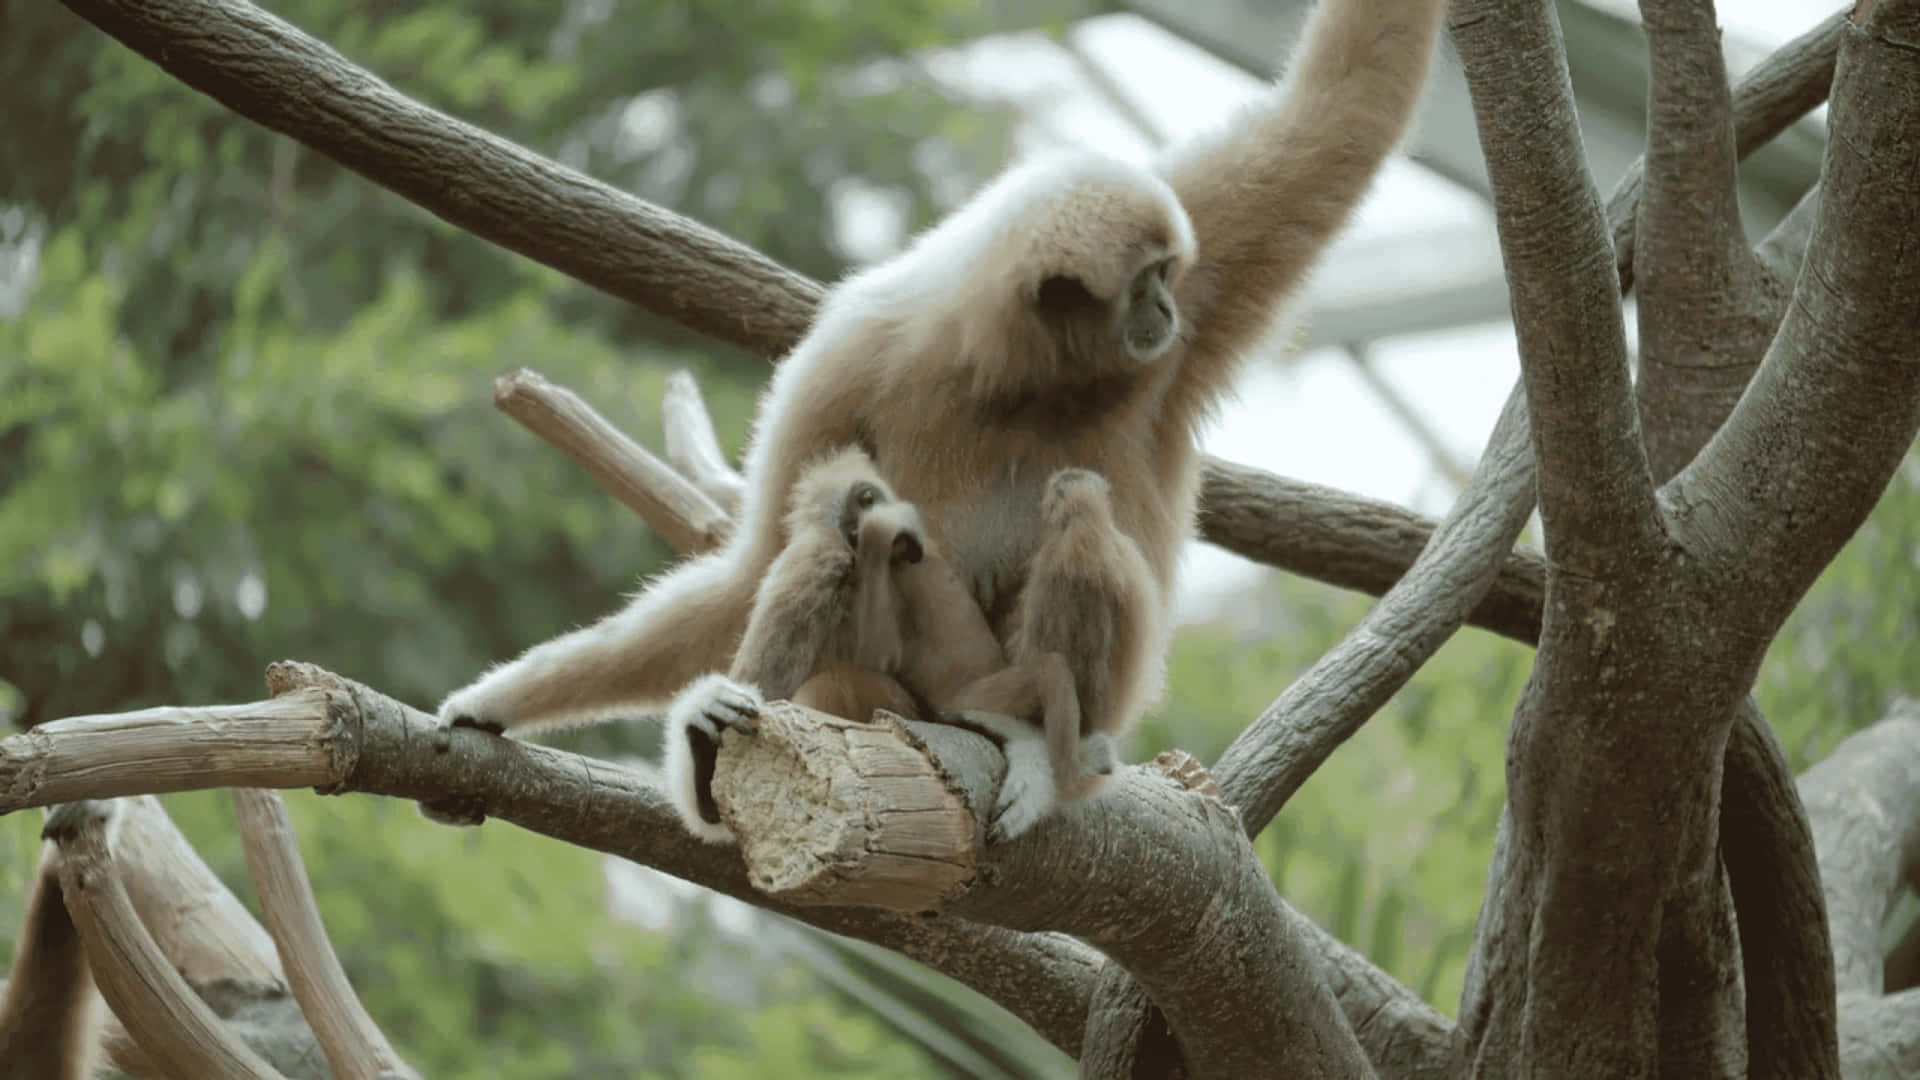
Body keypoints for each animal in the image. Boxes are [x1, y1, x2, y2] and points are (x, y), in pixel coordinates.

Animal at [436, 0, 1448, 836]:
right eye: (1146, 283)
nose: (1165, 307)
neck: (1022, 378)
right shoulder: (845, 356)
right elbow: (757, 562)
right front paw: (499, 701)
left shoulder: (1196, 295)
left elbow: (1337, 112)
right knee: (836, 538)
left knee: (1079, 517)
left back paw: (1043, 754)